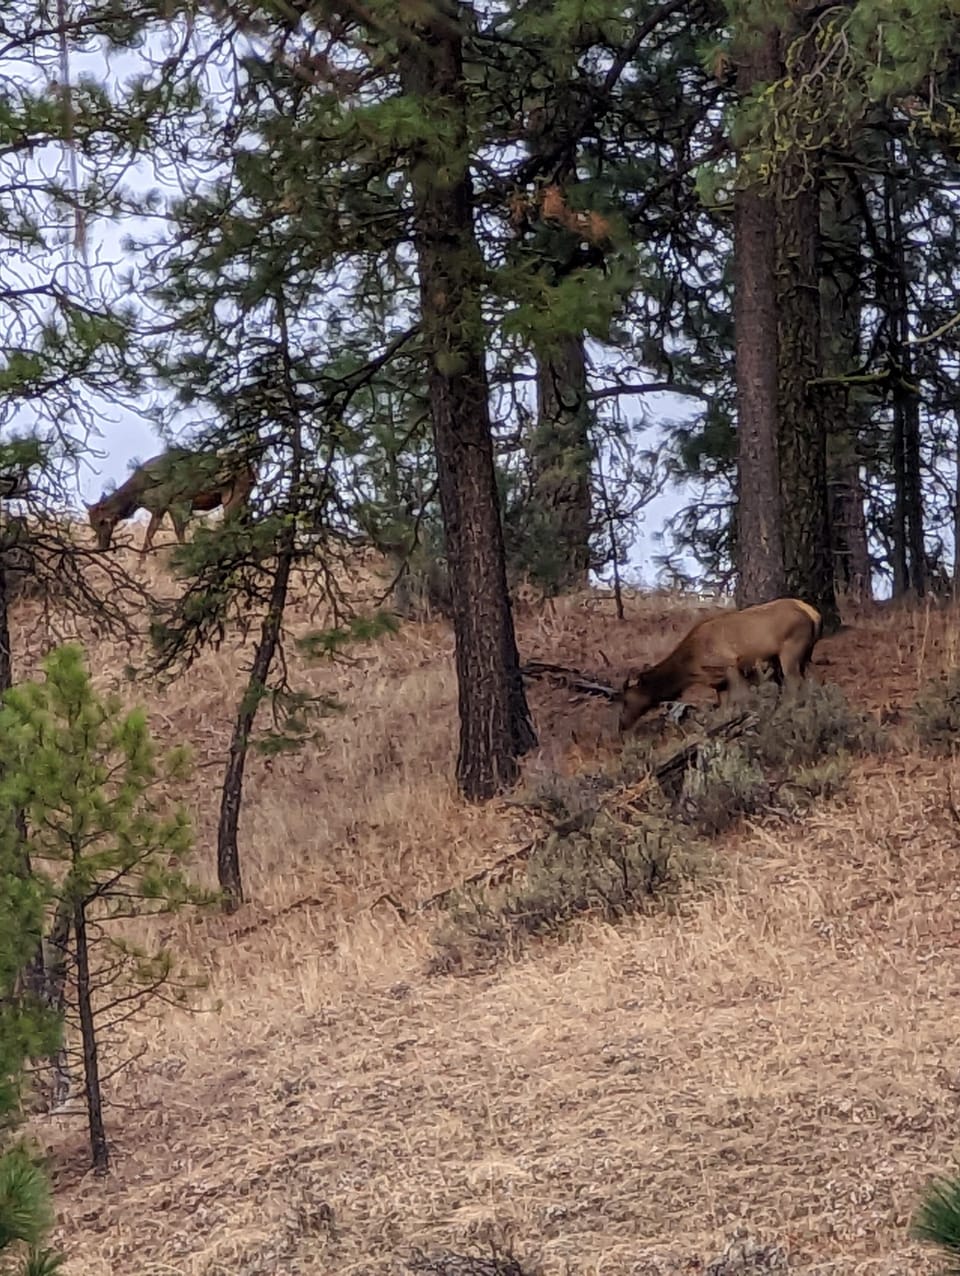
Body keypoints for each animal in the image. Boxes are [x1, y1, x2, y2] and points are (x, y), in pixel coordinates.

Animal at [86, 447, 256, 556]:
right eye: (92, 525)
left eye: (101, 521)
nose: (101, 547)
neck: (138, 496)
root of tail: (252, 470)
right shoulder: (159, 509)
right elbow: (148, 536)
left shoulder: (175, 503)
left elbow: (179, 534)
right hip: (242, 497)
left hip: (233, 496)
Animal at [617, 597, 823, 733]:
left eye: (627, 700)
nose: (621, 725)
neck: (691, 668)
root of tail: (814, 613)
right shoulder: (719, 684)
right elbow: (723, 710)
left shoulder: (730, 666)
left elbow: (742, 697)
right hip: (805, 655)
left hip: (790, 650)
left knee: (794, 682)